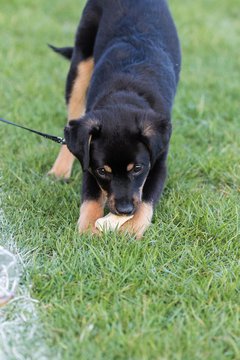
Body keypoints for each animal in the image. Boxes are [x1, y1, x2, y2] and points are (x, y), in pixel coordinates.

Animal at [49, 0, 180, 238]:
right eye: (103, 171)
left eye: (137, 168)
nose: (124, 209)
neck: (125, 91)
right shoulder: (88, 160)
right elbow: (91, 198)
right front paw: (88, 231)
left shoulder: (158, 160)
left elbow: (146, 201)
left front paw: (130, 230)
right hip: (80, 63)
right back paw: (59, 171)